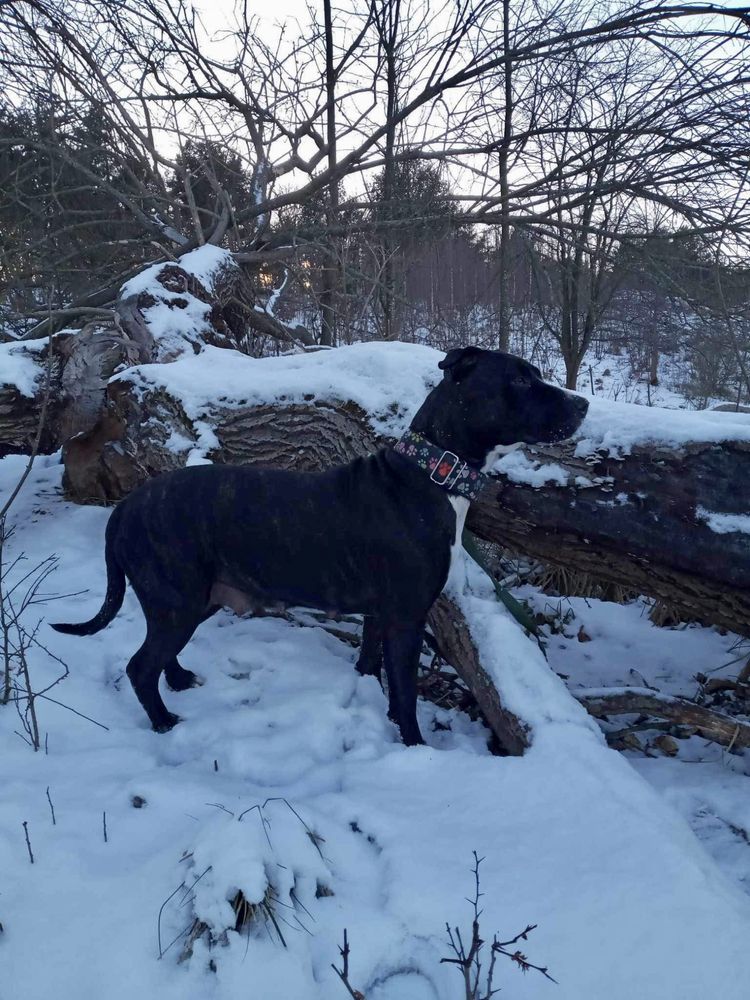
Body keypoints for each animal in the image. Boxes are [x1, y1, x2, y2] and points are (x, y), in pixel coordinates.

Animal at [55, 348, 592, 748]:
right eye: (519, 380)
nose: (583, 404)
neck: (432, 472)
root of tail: (126, 507)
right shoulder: (408, 617)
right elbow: (406, 692)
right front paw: (416, 748)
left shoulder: (382, 614)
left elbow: (377, 671)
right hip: (177, 600)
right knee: (139, 666)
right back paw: (165, 722)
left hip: (193, 600)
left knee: (158, 656)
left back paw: (181, 681)